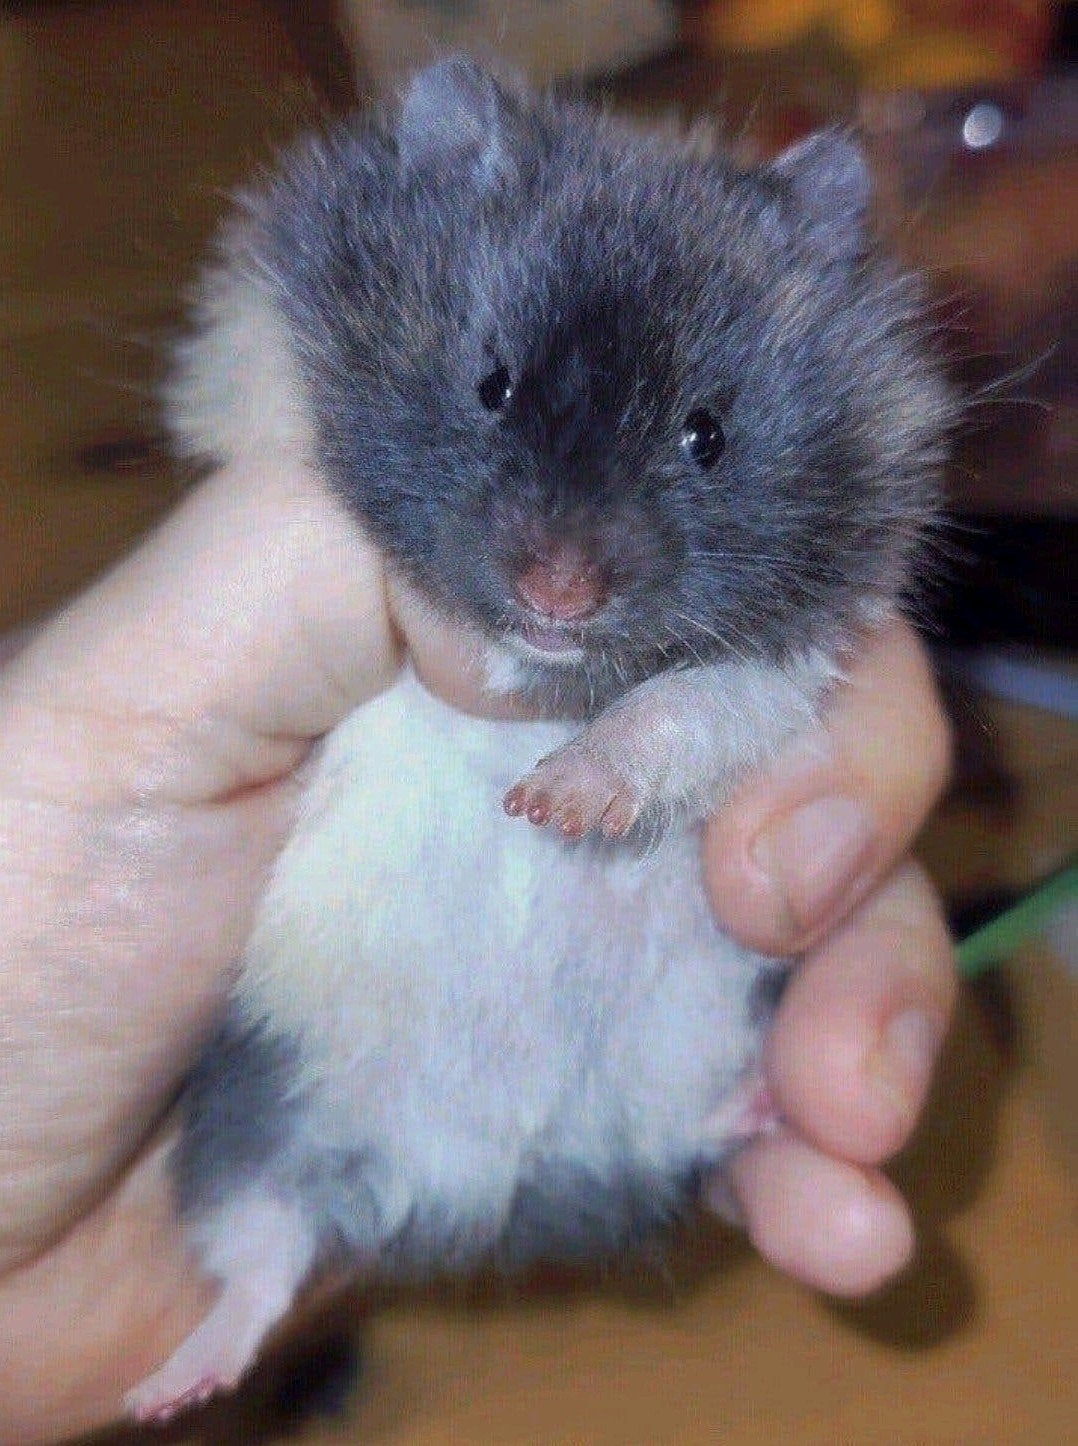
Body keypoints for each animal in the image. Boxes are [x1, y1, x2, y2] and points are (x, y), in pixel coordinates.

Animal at [125, 59, 952, 1421]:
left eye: (705, 432)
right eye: (491, 385)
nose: (558, 594)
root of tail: (470, 1188)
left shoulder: (792, 651)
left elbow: (682, 711)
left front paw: (554, 802)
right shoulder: (250, 340)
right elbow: (266, 410)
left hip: (668, 1049)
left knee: (679, 1133)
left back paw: (769, 1104)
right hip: (252, 1111)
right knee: (261, 1246)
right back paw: (175, 1389)